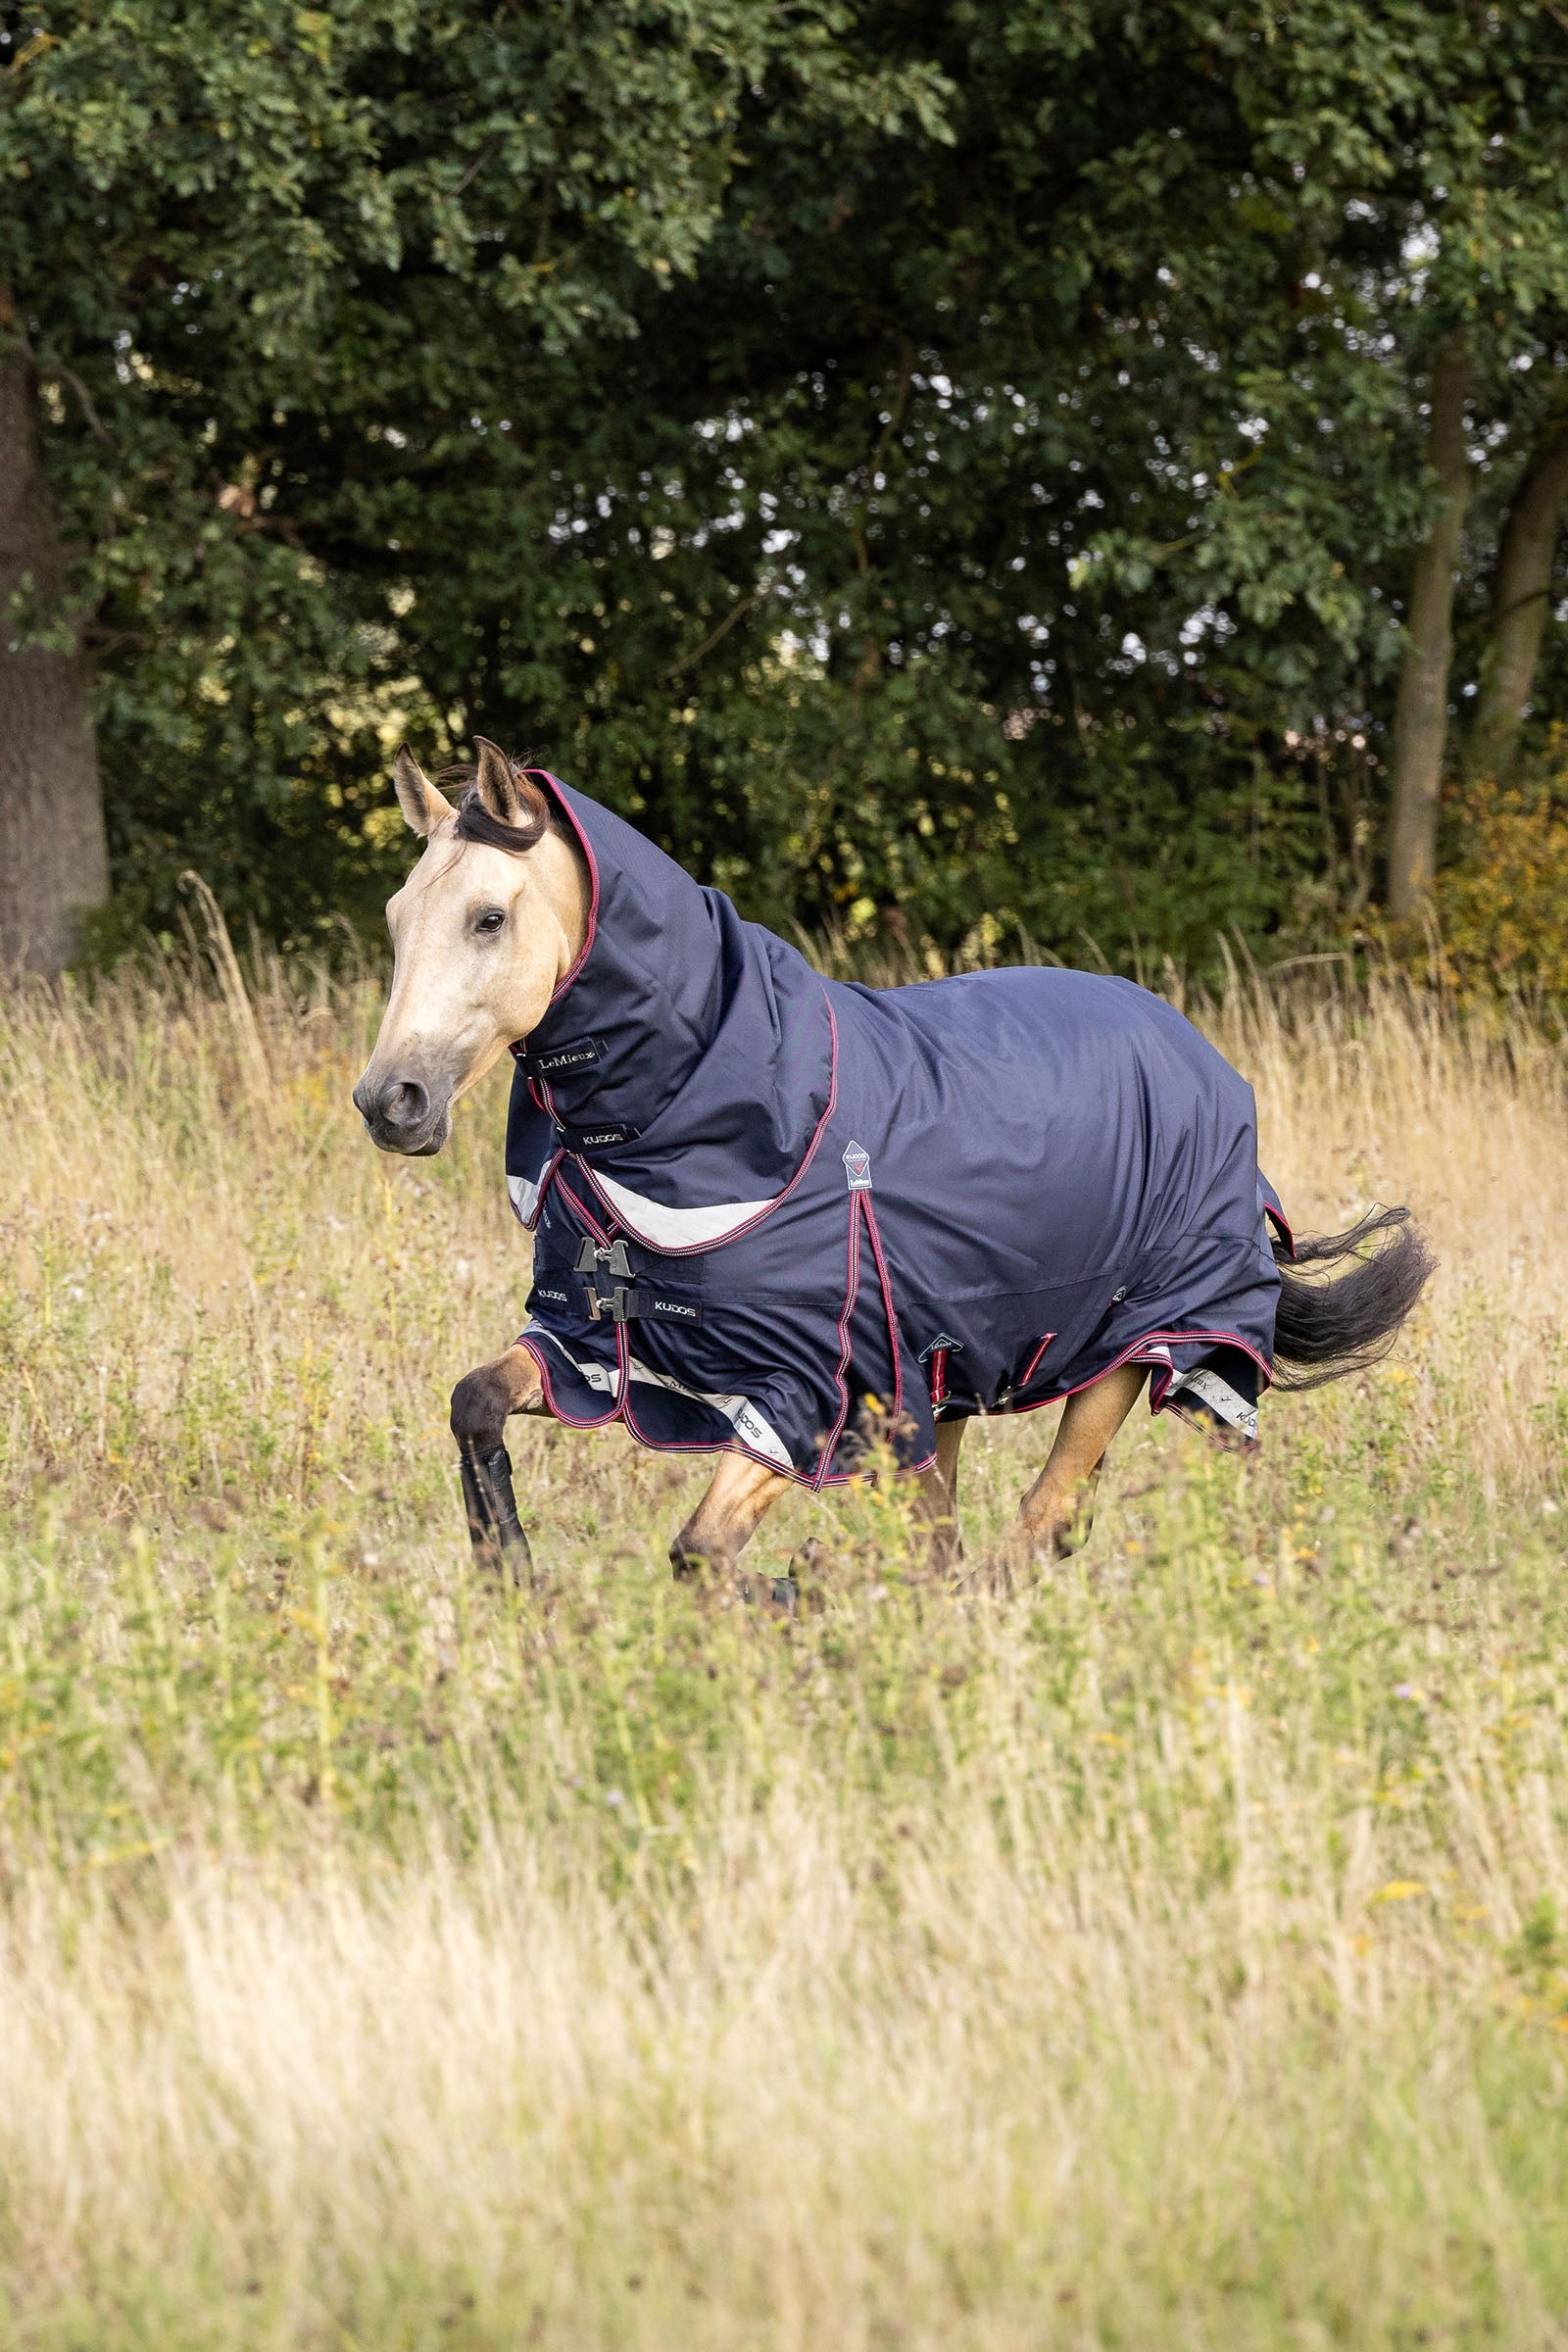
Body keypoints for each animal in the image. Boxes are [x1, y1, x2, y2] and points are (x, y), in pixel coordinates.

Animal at [353, 738, 1432, 1585]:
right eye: (397, 915)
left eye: (489, 917)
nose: (389, 1102)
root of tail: (1203, 1060)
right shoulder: (603, 1352)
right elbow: (475, 1402)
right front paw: (511, 1573)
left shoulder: (810, 1392)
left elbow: (701, 1553)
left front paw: (802, 1592)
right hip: (945, 1389)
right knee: (960, 1544)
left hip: (1130, 1357)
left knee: (1034, 1532)